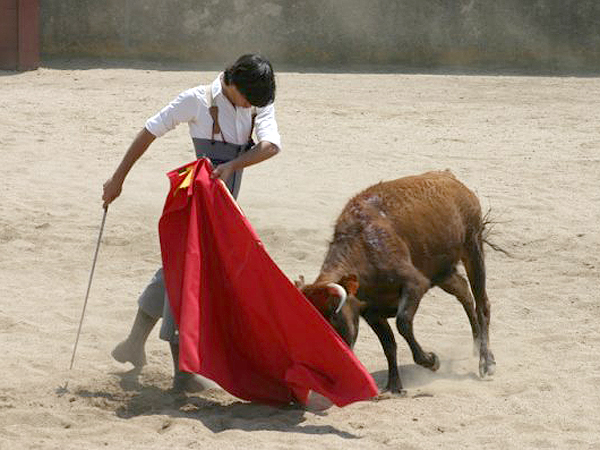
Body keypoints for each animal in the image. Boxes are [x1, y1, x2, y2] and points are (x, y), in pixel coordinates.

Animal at [298, 170, 494, 394]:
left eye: (332, 317)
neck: (363, 247)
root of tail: (450, 177)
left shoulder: (415, 284)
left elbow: (403, 323)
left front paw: (431, 361)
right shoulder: (371, 312)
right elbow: (389, 345)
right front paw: (393, 385)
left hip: (473, 248)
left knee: (482, 304)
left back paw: (486, 362)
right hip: (443, 272)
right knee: (464, 292)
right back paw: (476, 346)